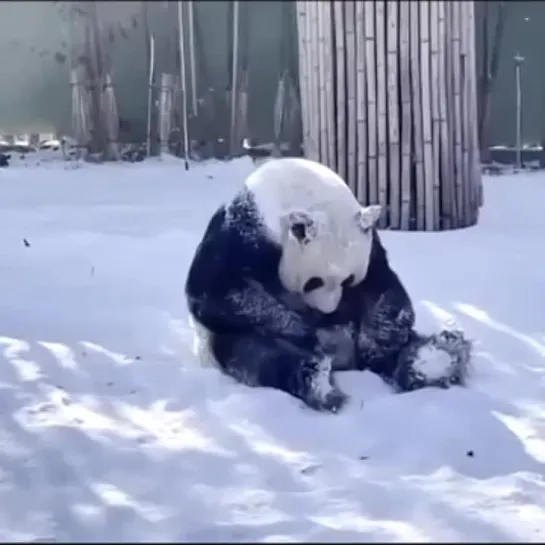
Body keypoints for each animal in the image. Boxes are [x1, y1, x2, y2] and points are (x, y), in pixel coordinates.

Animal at [184, 157, 472, 412]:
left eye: (349, 279)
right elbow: (217, 292)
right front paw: (301, 328)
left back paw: (437, 359)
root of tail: (344, 358)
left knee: (405, 346)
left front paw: (378, 341)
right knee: (259, 355)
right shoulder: (245, 232)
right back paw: (316, 379)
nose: (328, 312)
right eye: (314, 282)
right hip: (222, 341)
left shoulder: (369, 246)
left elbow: (383, 288)